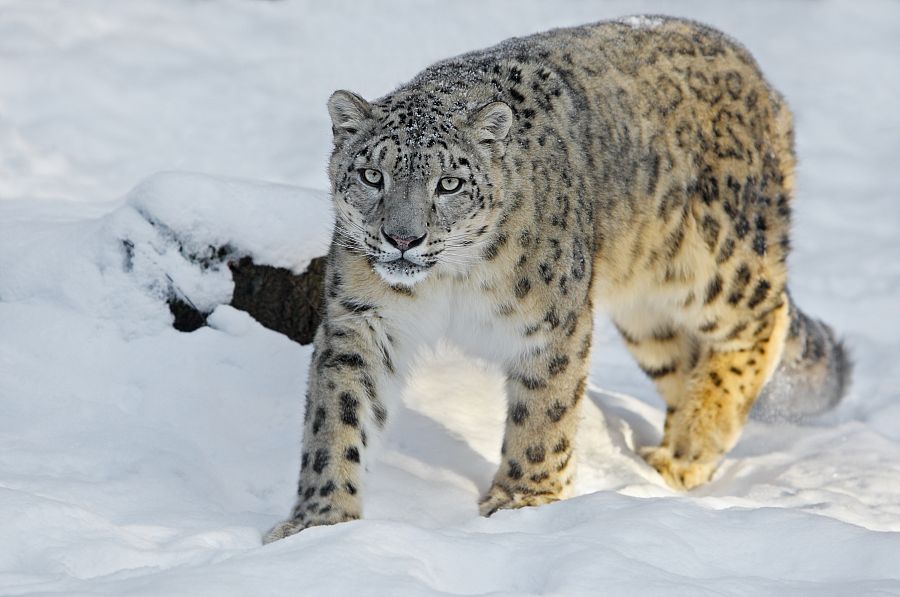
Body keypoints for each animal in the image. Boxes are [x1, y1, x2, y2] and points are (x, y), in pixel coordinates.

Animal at [264, 15, 849, 542]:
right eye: (371, 175)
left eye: (449, 183)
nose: (401, 238)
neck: (447, 284)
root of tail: (758, 76)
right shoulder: (362, 320)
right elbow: (337, 416)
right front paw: (320, 520)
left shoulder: (552, 324)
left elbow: (544, 413)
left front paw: (524, 499)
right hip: (645, 314)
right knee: (683, 360)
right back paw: (666, 457)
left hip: (716, 260)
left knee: (760, 319)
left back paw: (691, 447)